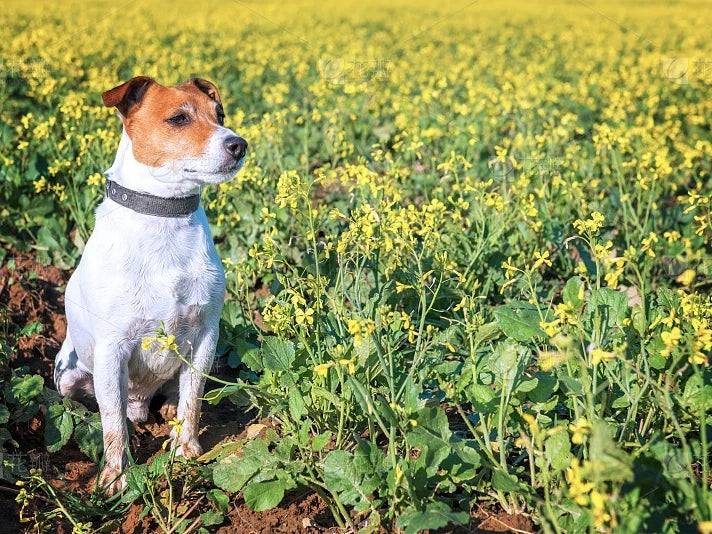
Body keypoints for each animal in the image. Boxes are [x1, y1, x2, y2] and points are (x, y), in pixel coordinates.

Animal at [53, 76, 248, 494]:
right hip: (69, 376)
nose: (239, 144)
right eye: (178, 118)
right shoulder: (112, 349)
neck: (164, 218)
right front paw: (115, 477)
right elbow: (112, 422)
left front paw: (186, 450)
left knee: (176, 391)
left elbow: (193, 398)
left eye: (220, 115)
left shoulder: (206, 335)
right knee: (101, 406)